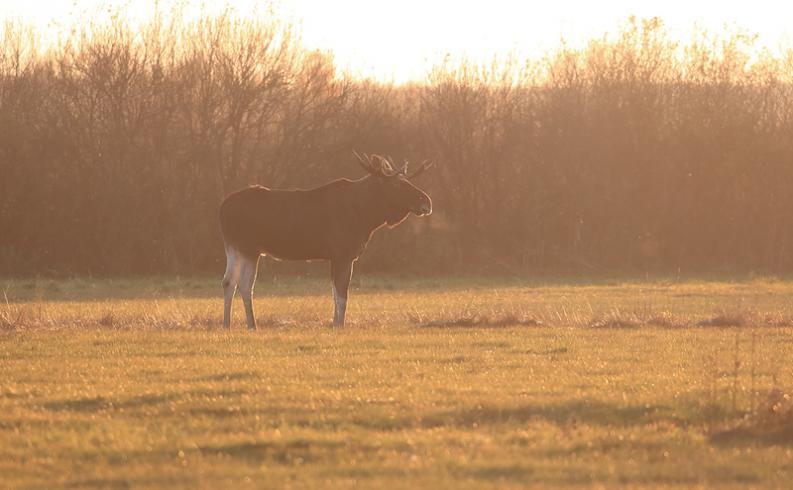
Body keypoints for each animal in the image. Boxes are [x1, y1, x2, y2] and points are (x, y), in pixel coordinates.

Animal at [218, 153, 434, 330]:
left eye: (407, 180)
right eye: (397, 184)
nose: (427, 201)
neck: (366, 216)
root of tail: (223, 208)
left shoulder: (335, 257)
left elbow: (334, 293)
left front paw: (334, 324)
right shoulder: (343, 254)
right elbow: (342, 294)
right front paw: (339, 326)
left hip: (233, 247)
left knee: (228, 281)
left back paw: (227, 324)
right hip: (250, 247)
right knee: (245, 283)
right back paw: (251, 325)